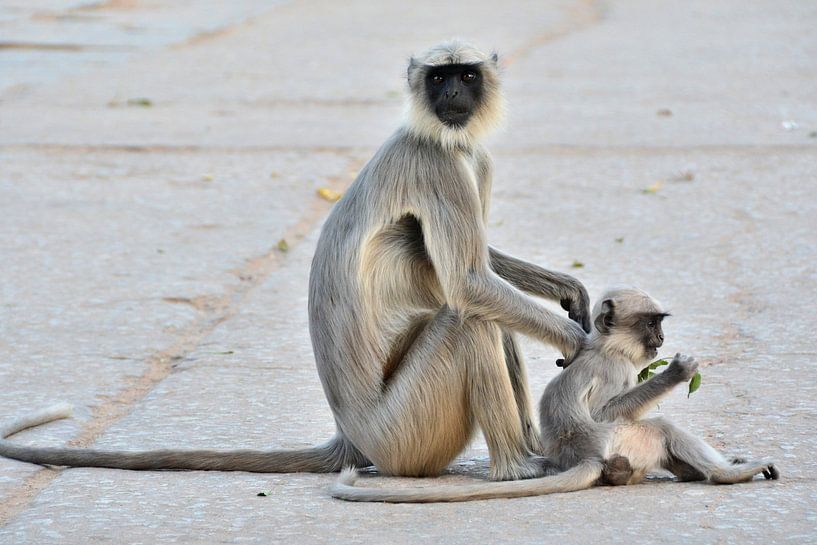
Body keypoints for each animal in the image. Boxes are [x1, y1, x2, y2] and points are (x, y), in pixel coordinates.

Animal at [0, 41, 591, 482]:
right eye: (438, 77)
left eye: (466, 76)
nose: (450, 93)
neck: (442, 136)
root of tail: (351, 438)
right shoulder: (437, 163)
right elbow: (468, 281)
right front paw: (579, 343)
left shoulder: (473, 157)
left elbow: (478, 265)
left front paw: (568, 291)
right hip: (405, 433)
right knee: (468, 319)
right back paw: (515, 468)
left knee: (492, 316)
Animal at [330, 287, 779, 502]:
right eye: (652, 324)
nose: (661, 340)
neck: (608, 346)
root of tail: (585, 456)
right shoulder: (613, 369)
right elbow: (605, 411)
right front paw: (677, 371)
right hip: (621, 442)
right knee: (659, 426)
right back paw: (727, 474)